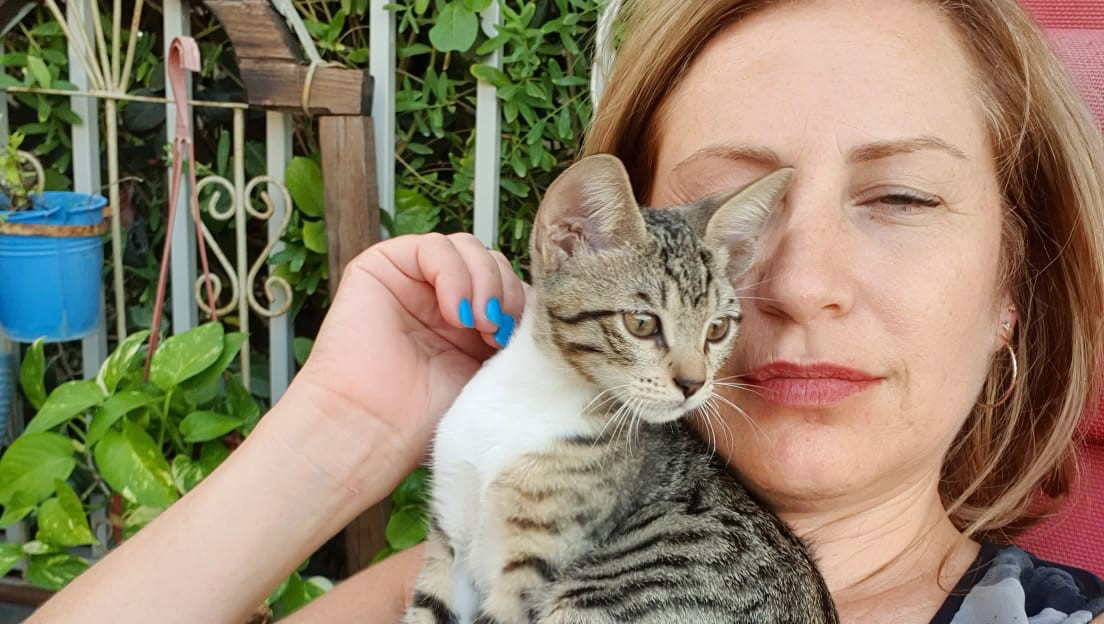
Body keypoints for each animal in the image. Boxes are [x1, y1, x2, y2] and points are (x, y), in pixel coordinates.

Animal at [401, 154, 838, 624]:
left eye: (717, 329)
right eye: (641, 323)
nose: (693, 383)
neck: (533, 396)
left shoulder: (531, 571)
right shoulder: (449, 536)